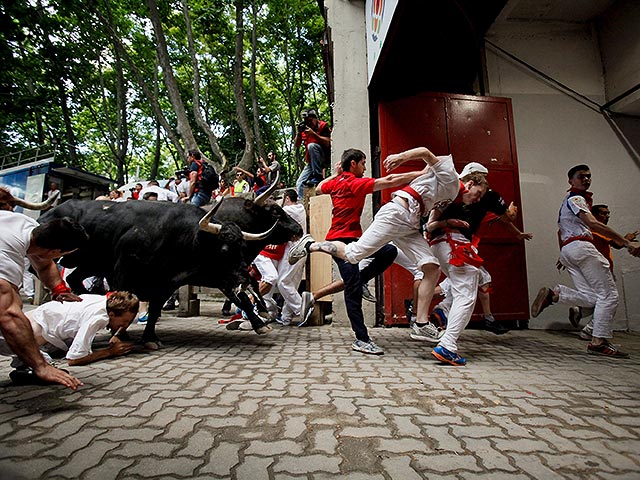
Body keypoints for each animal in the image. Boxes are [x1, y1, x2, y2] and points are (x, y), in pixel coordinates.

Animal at [40, 197, 302, 346]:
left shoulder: (172, 281)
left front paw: (149, 337)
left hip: (89, 263)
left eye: (241, 247)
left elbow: (156, 307)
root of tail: (51, 211)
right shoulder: (122, 272)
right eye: (276, 212)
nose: (299, 228)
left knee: (74, 279)